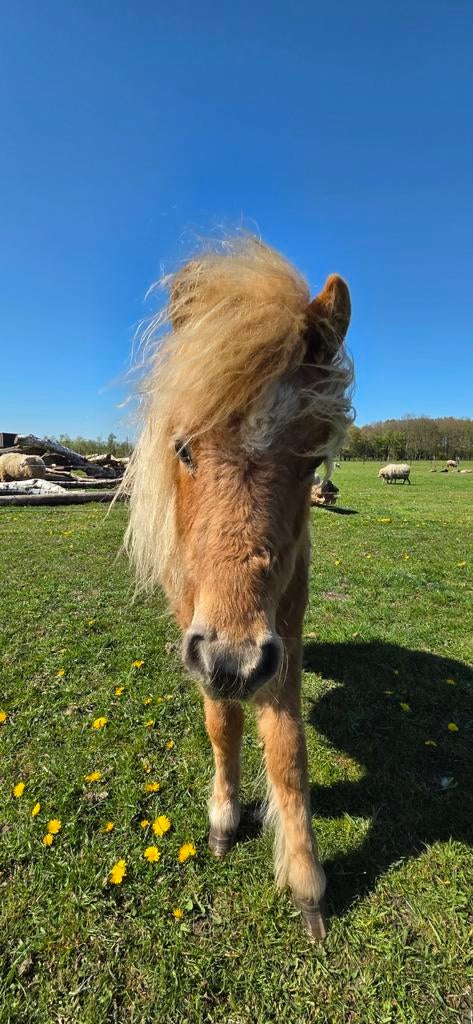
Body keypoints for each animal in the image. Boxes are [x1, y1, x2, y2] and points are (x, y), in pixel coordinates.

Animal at [122, 237, 353, 940]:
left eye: (312, 461)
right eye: (183, 449)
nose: (234, 661)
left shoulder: (285, 634)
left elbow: (287, 748)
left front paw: (307, 882)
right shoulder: (199, 633)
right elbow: (222, 722)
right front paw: (224, 823)